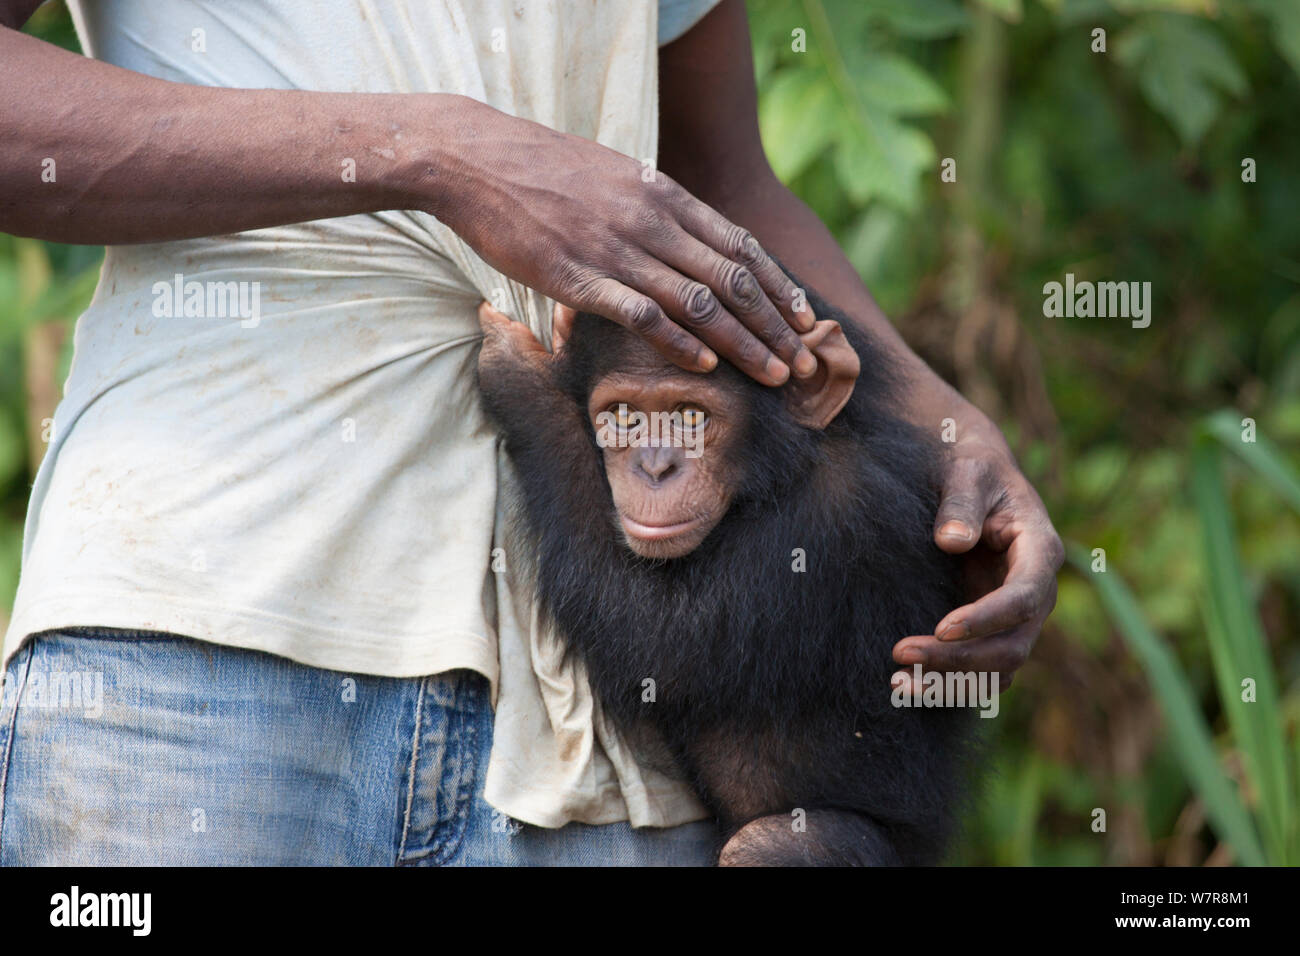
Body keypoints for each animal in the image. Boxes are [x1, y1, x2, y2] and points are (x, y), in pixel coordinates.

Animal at [475, 278, 977, 868]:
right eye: (623, 416)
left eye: (691, 418)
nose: (655, 467)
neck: (777, 475)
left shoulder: (832, 523)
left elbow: (656, 643)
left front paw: (523, 379)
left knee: (776, 844)